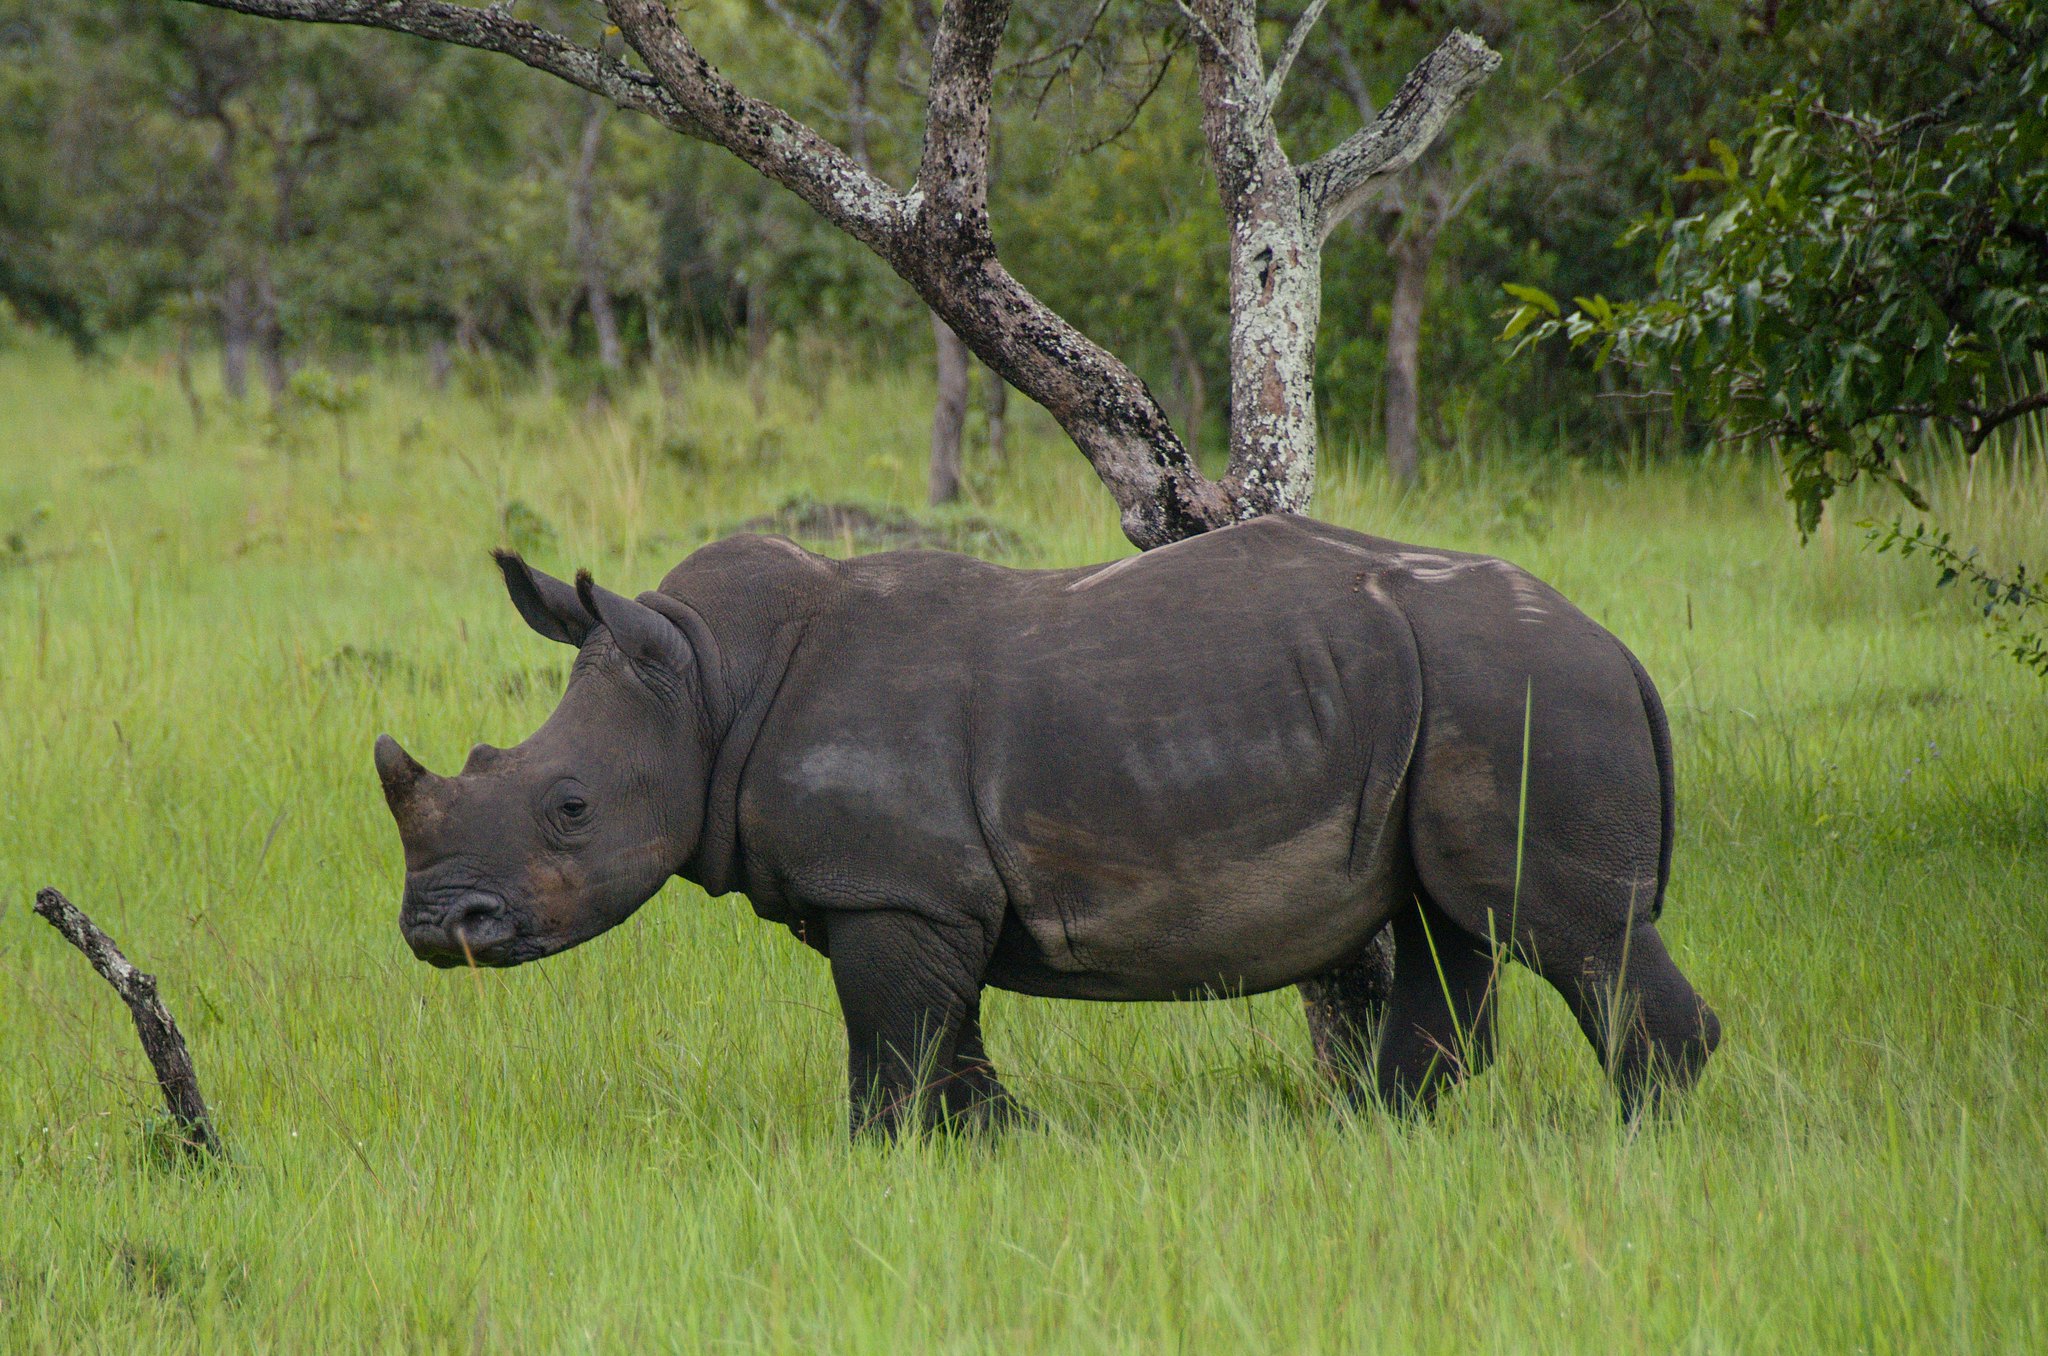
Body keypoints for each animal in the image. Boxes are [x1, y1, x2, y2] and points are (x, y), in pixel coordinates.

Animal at [376, 512, 1720, 1138]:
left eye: (568, 808)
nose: (439, 927)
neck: (707, 680)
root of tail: (1620, 648)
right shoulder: (923, 892)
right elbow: (947, 1043)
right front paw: (1001, 1148)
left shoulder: (893, 889)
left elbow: (891, 1050)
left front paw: (874, 1164)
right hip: (1469, 696)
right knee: (1452, 924)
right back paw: (1377, 1138)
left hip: (1530, 694)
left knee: (1566, 933)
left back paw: (1637, 1145)